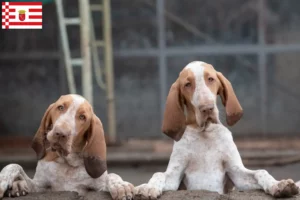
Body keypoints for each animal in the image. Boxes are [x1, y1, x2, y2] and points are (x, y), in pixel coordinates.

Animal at [0, 94, 135, 199]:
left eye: (82, 117)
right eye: (60, 107)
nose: (60, 133)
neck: (66, 162)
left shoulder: (97, 187)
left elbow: (111, 176)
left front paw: (120, 185)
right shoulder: (39, 187)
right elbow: (14, 165)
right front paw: (3, 180)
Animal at [135, 61, 298, 199]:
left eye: (211, 79)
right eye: (187, 84)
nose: (207, 108)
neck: (205, 132)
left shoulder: (236, 172)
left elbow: (261, 172)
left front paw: (278, 185)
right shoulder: (175, 176)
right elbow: (159, 174)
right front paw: (148, 187)